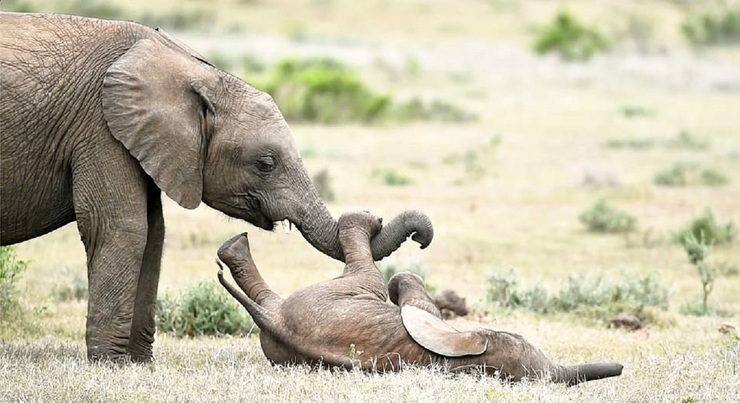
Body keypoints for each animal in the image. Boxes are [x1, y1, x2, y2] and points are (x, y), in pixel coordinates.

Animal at [0, 12, 434, 362]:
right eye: (265, 164)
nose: (419, 236)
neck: (192, 72)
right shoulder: (100, 128)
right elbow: (122, 228)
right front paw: (109, 365)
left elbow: (153, 233)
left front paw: (138, 363)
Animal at [215, 211, 624, 386]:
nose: (619, 367)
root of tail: (274, 322)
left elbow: (408, 286)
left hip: (338, 296)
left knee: (366, 274)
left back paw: (233, 248)